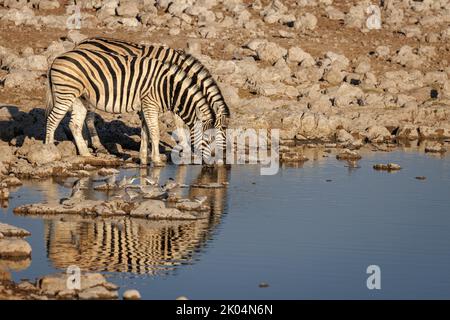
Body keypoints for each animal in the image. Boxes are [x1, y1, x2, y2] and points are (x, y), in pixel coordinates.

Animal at [46, 47, 220, 166]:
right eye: (208, 138)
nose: (215, 161)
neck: (168, 87)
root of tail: (57, 58)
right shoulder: (150, 104)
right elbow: (154, 133)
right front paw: (157, 160)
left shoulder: (145, 106)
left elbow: (145, 132)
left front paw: (144, 159)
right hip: (66, 93)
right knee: (52, 119)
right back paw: (49, 151)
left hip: (80, 97)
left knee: (74, 125)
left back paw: (85, 154)